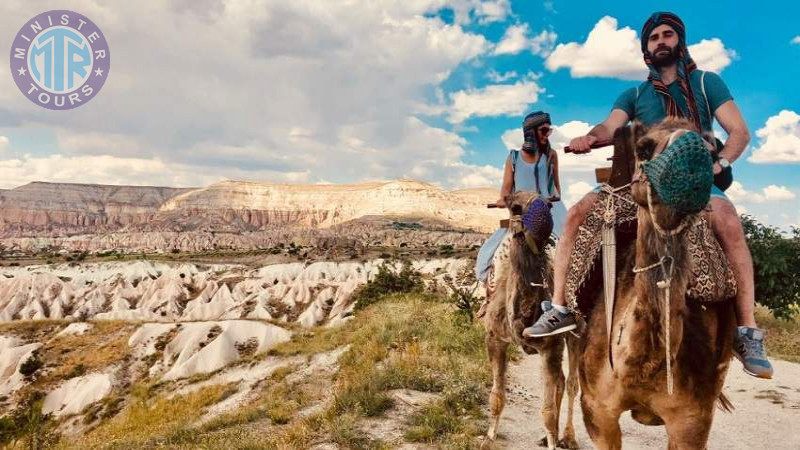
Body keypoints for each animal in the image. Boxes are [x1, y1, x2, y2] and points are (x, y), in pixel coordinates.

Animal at [478, 191, 580, 450]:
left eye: (549, 206)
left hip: (577, 334)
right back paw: (548, 437)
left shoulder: (551, 346)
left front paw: (555, 442)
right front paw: (489, 438)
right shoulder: (495, 339)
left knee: (572, 383)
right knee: (562, 381)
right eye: (515, 207)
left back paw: (568, 438)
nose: (542, 223)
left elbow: (547, 411)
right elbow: (496, 396)